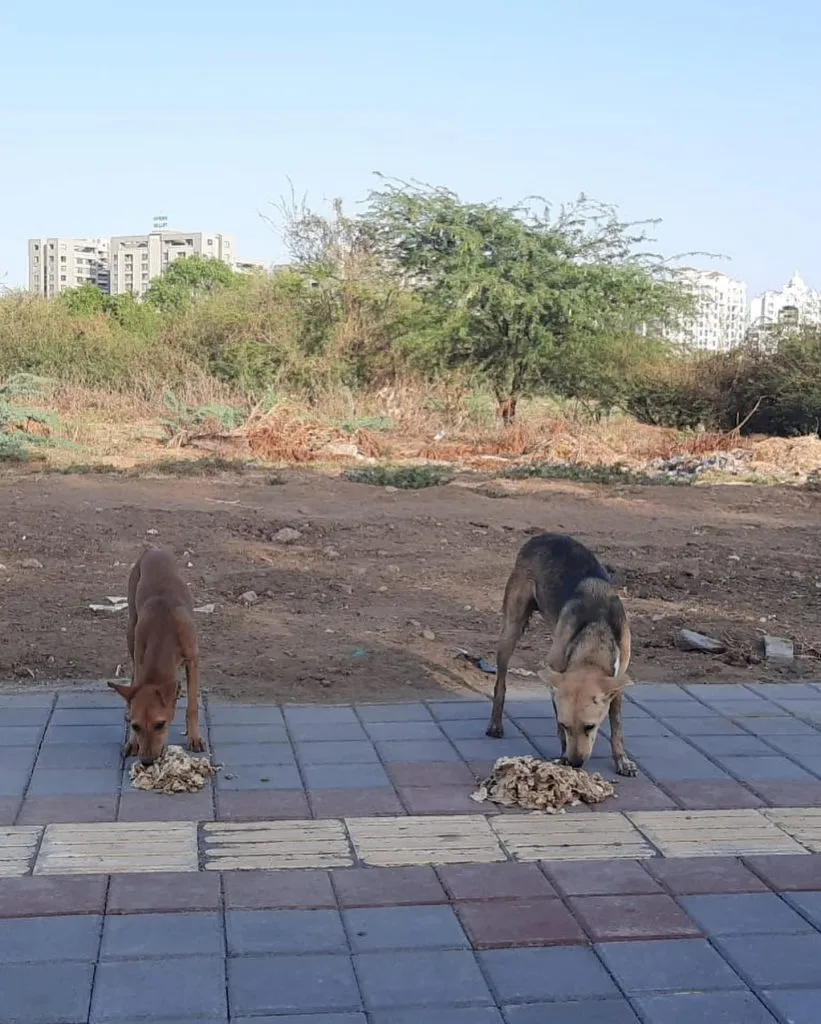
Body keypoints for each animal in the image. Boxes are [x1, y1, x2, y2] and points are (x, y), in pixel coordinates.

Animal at [106, 548, 204, 765]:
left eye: (160, 724)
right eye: (135, 726)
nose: (146, 761)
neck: (163, 631)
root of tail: (153, 550)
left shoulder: (193, 660)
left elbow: (192, 705)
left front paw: (194, 737)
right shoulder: (140, 658)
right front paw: (133, 742)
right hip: (131, 628)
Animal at [483, 536, 634, 774]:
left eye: (590, 726)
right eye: (566, 725)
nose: (575, 763)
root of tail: (539, 537)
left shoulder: (618, 680)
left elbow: (617, 726)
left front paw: (621, 759)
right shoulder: (555, 671)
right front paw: (563, 755)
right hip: (511, 628)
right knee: (501, 684)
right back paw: (496, 724)